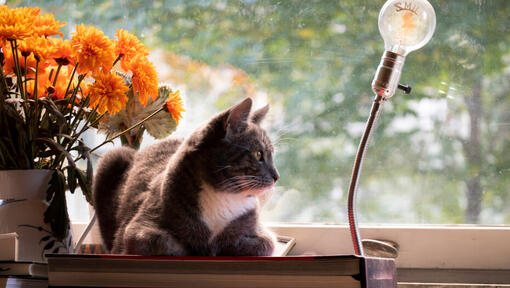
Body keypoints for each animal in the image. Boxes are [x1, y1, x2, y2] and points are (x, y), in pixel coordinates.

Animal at [93, 98, 280, 255]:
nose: (277, 176)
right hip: (112, 158)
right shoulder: (138, 228)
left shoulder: (260, 231)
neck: (222, 195)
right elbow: (165, 242)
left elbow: (264, 244)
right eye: (258, 154)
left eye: (272, 155)